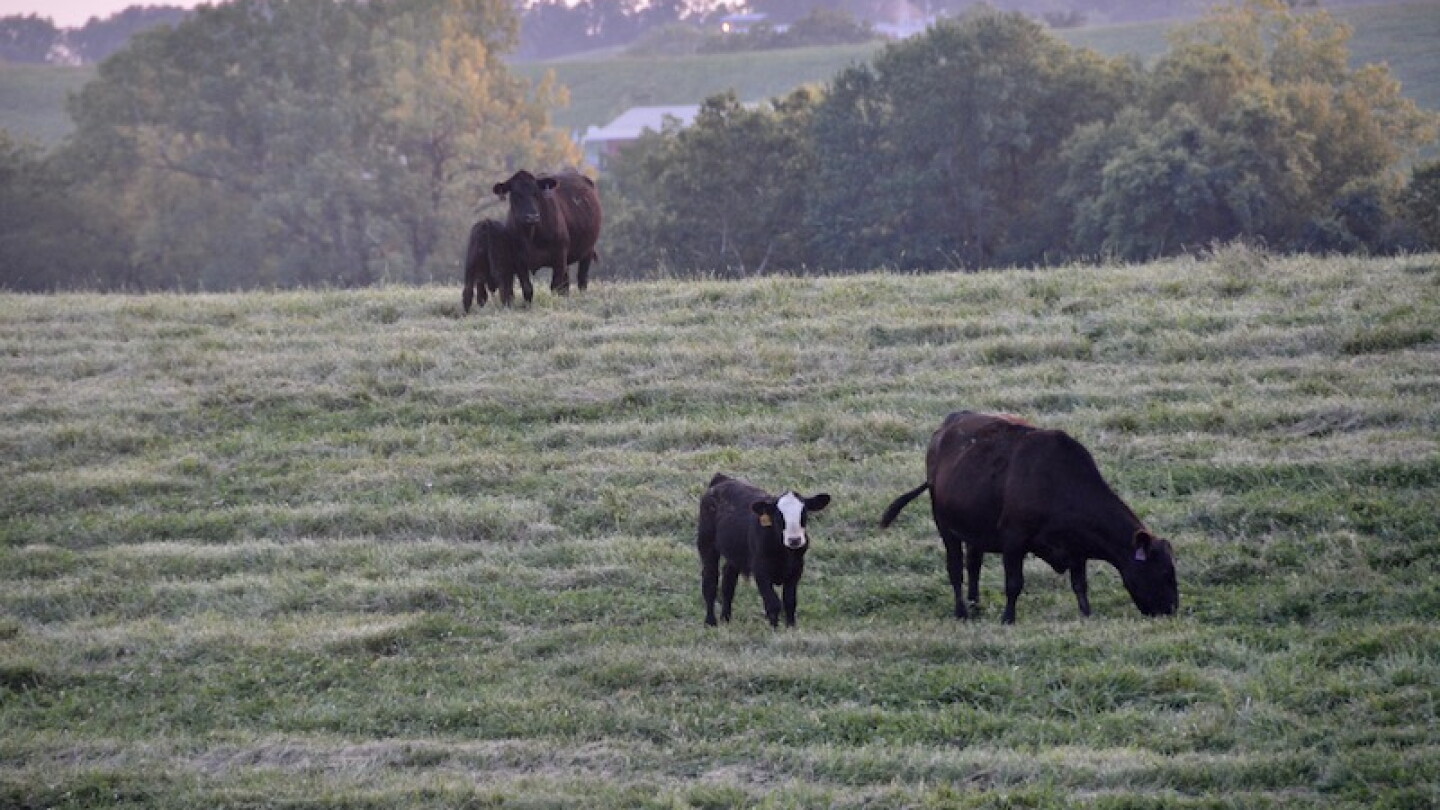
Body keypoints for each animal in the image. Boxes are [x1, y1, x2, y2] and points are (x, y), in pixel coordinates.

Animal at [697, 473, 831, 628]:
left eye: (803, 514)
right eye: (779, 516)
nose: (795, 540)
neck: (784, 553)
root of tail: (721, 479)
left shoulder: (796, 569)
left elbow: (790, 601)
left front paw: (790, 627)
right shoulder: (760, 571)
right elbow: (773, 603)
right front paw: (774, 628)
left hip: (735, 553)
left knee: (728, 582)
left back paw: (726, 618)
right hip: (706, 543)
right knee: (710, 581)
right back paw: (710, 622)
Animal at [880, 411, 1178, 624]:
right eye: (1164, 572)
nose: (1172, 610)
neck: (1058, 484)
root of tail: (947, 425)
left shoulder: (1076, 547)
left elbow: (1080, 584)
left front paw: (1086, 615)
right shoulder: (1014, 539)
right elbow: (1014, 583)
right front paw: (1008, 618)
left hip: (975, 530)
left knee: (973, 565)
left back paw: (975, 606)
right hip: (945, 526)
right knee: (955, 570)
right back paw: (962, 612)